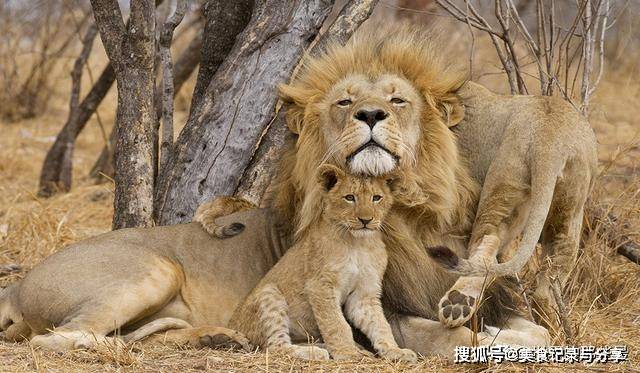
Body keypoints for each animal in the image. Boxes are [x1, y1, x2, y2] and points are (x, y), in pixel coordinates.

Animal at [228, 165, 418, 360]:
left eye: (376, 198)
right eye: (350, 197)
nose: (366, 220)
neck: (358, 243)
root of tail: (232, 326)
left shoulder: (364, 294)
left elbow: (380, 325)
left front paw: (395, 350)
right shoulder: (320, 285)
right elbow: (336, 323)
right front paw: (346, 352)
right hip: (268, 293)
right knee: (276, 347)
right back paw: (317, 352)